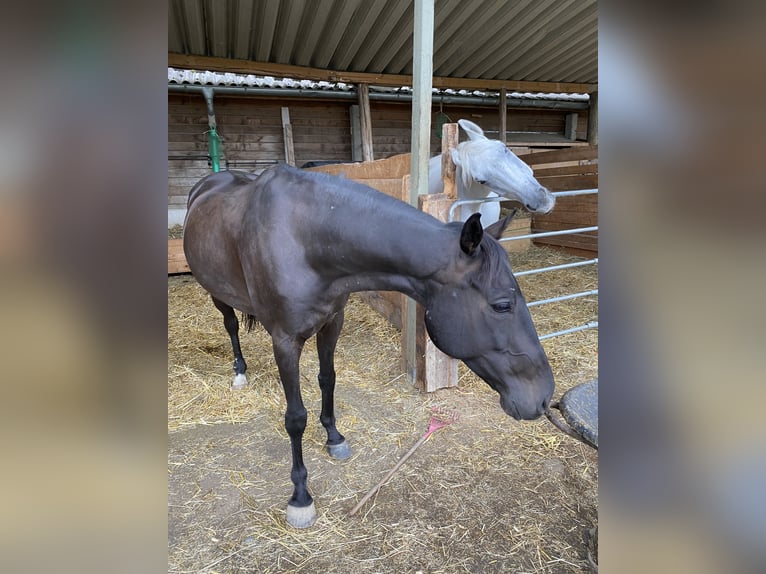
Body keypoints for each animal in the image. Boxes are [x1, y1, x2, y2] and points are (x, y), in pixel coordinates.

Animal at [183, 164, 556, 528]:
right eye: (502, 305)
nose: (543, 397)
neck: (304, 240)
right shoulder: (285, 340)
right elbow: (295, 417)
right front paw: (300, 497)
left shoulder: (333, 321)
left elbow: (328, 380)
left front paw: (334, 437)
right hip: (217, 292)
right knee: (231, 325)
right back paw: (239, 371)